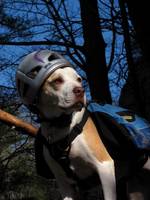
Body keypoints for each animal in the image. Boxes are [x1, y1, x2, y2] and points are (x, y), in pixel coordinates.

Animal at [36, 67, 116, 200]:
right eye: (57, 80)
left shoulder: (105, 166)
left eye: (79, 79)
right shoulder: (64, 184)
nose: (80, 91)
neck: (60, 125)